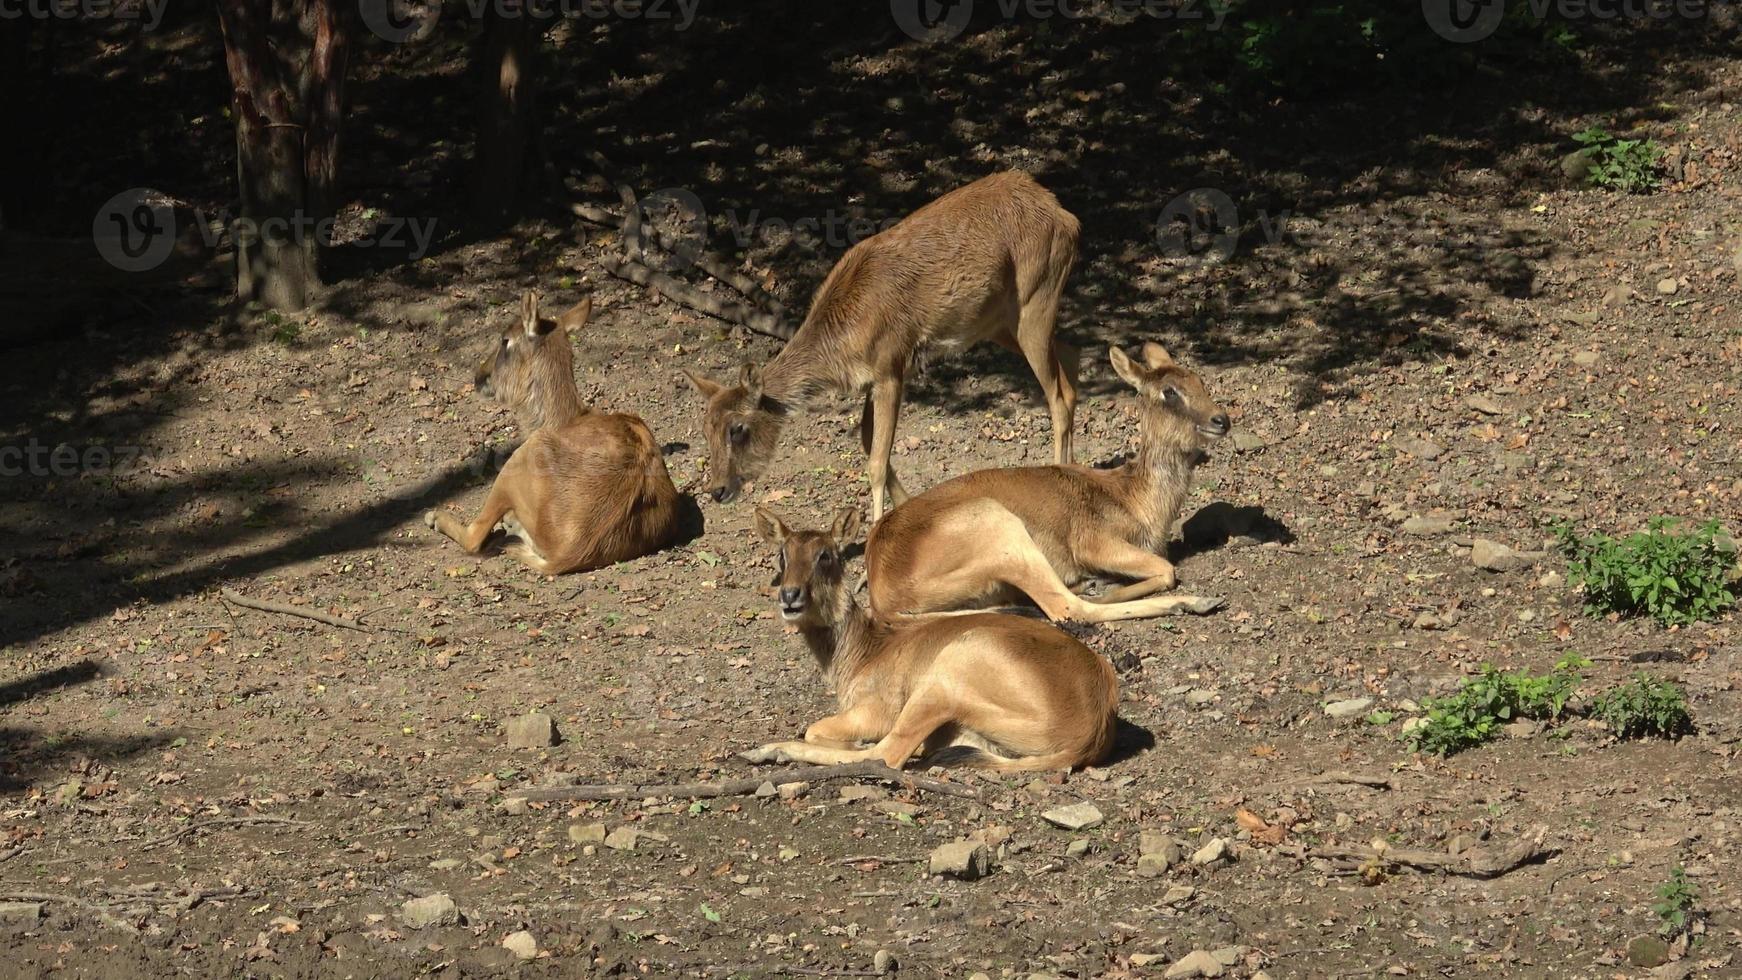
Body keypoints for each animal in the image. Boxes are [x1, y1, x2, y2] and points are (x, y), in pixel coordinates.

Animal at [425, 295, 682, 577]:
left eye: (505, 340)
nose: (480, 376)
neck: (560, 418)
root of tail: (567, 554)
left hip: (515, 464)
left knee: (475, 536)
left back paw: (441, 518)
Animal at [686, 170, 1080, 522]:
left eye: (738, 428)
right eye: (704, 428)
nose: (717, 490)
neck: (844, 344)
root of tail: (1068, 217)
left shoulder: (891, 366)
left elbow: (876, 460)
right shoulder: (870, 381)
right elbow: (866, 441)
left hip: (1035, 295)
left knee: (1057, 396)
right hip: (998, 322)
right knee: (1070, 362)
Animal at [742, 504, 1121, 776]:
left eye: (825, 556)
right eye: (782, 555)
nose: (790, 596)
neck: (866, 649)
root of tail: (1090, 727)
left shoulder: (876, 711)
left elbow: (817, 730)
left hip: (942, 683)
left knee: (887, 755)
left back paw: (765, 751)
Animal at [867, 341, 1226, 626]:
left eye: (1198, 380)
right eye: (1170, 391)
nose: (1221, 419)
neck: (1133, 498)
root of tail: (884, 596)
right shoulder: (1094, 543)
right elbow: (1166, 568)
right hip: (1005, 534)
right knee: (1067, 608)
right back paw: (1195, 601)